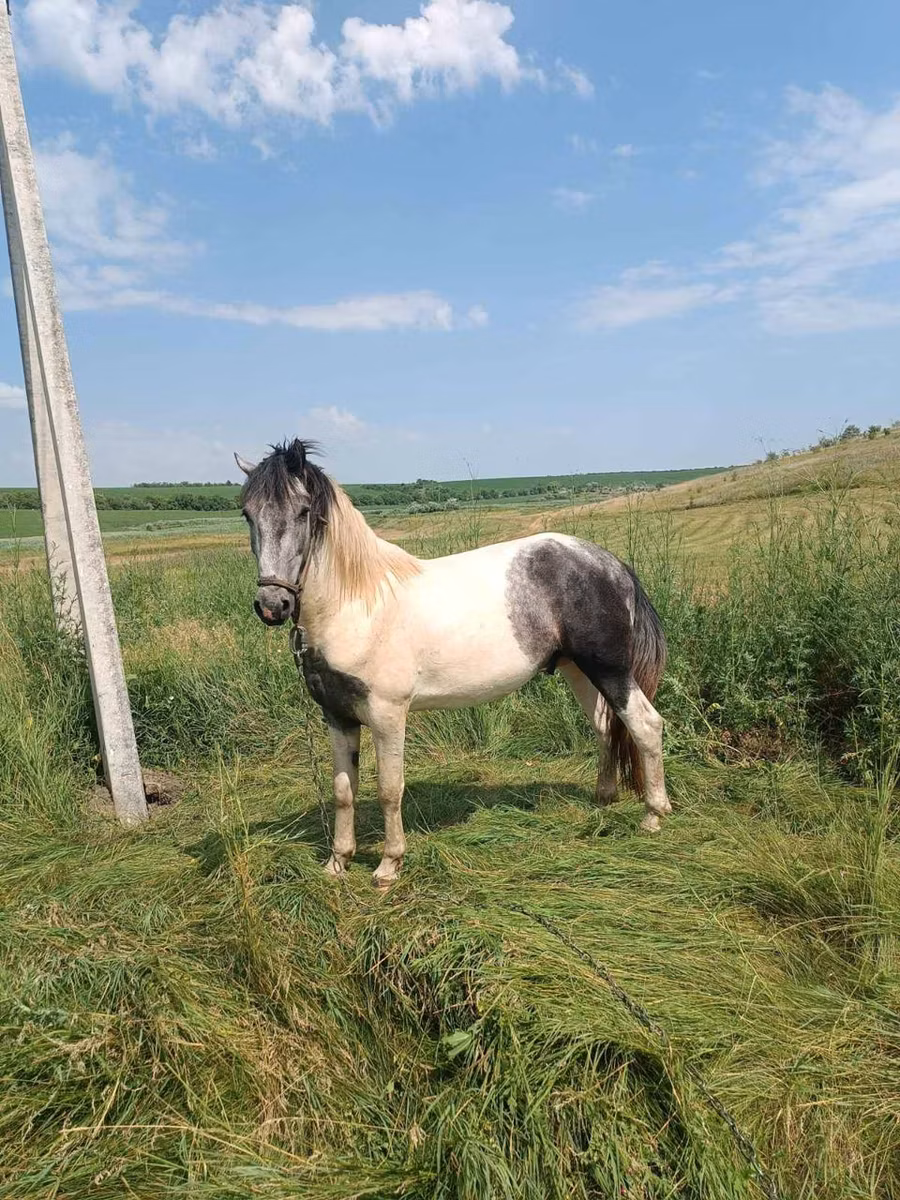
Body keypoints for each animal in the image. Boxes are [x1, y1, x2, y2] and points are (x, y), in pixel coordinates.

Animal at [235, 439, 670, 887]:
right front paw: (338, 862)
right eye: (247, 513)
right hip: (578, 669)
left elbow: (389, 789)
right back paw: (604, 799)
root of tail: (611, 564)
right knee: (604, 727)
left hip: (610, 670)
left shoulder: (388, 714)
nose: (272, 605)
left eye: (303, 511)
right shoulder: (337, 716)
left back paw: (653, 817)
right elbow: (343, 789)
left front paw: (389, 865)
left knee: (645, 726)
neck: (358, 604)